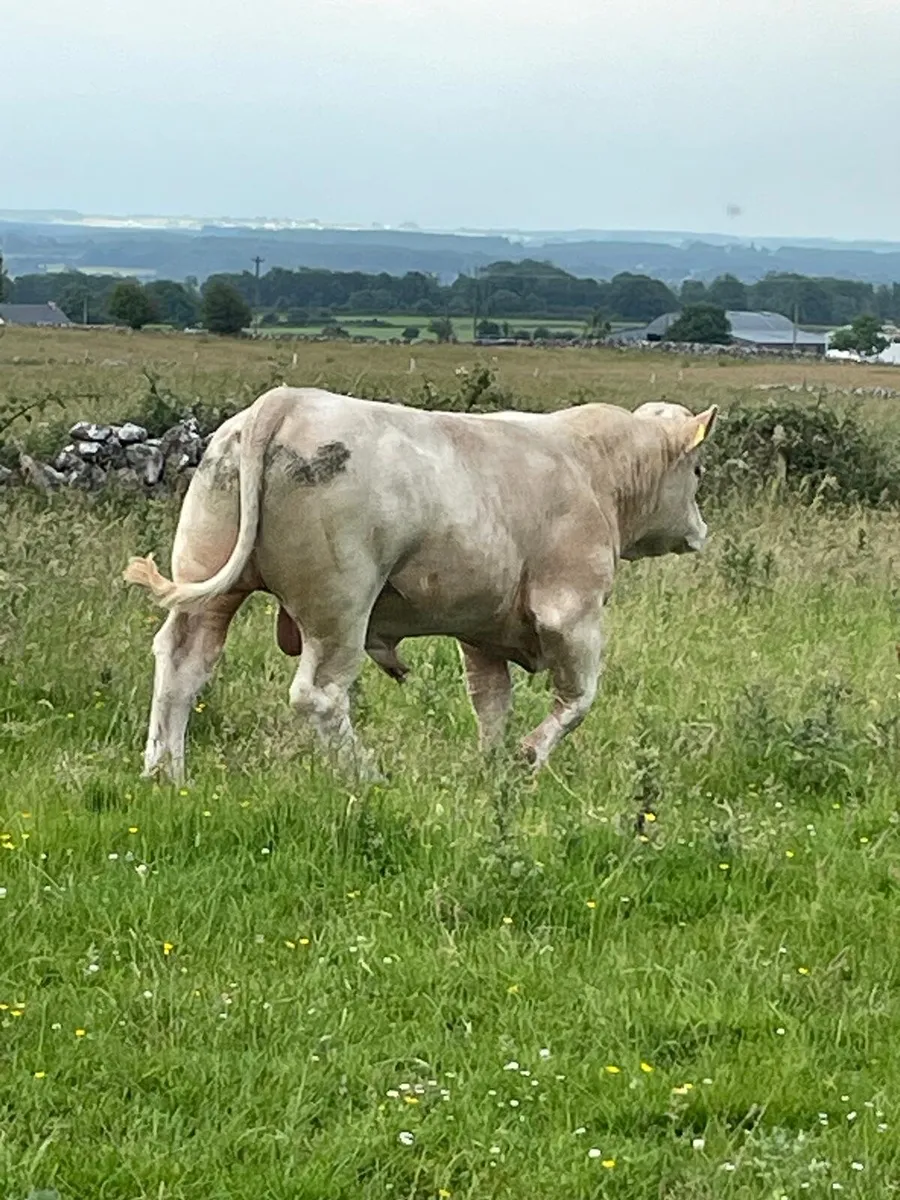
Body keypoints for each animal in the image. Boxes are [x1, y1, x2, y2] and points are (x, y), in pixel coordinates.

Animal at [123, 386, 717, 783]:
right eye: (698, 472)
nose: (700, 531)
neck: (597, 468)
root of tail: (288, 400)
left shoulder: (481, 629)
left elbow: (491, 702)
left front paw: (491, 768)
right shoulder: (573, 613)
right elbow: (577, 700)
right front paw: (528, 757)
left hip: (207, 577)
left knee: (182, 663)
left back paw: (165, 771)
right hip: (340, 605)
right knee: (319, 694)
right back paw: (368, 776)